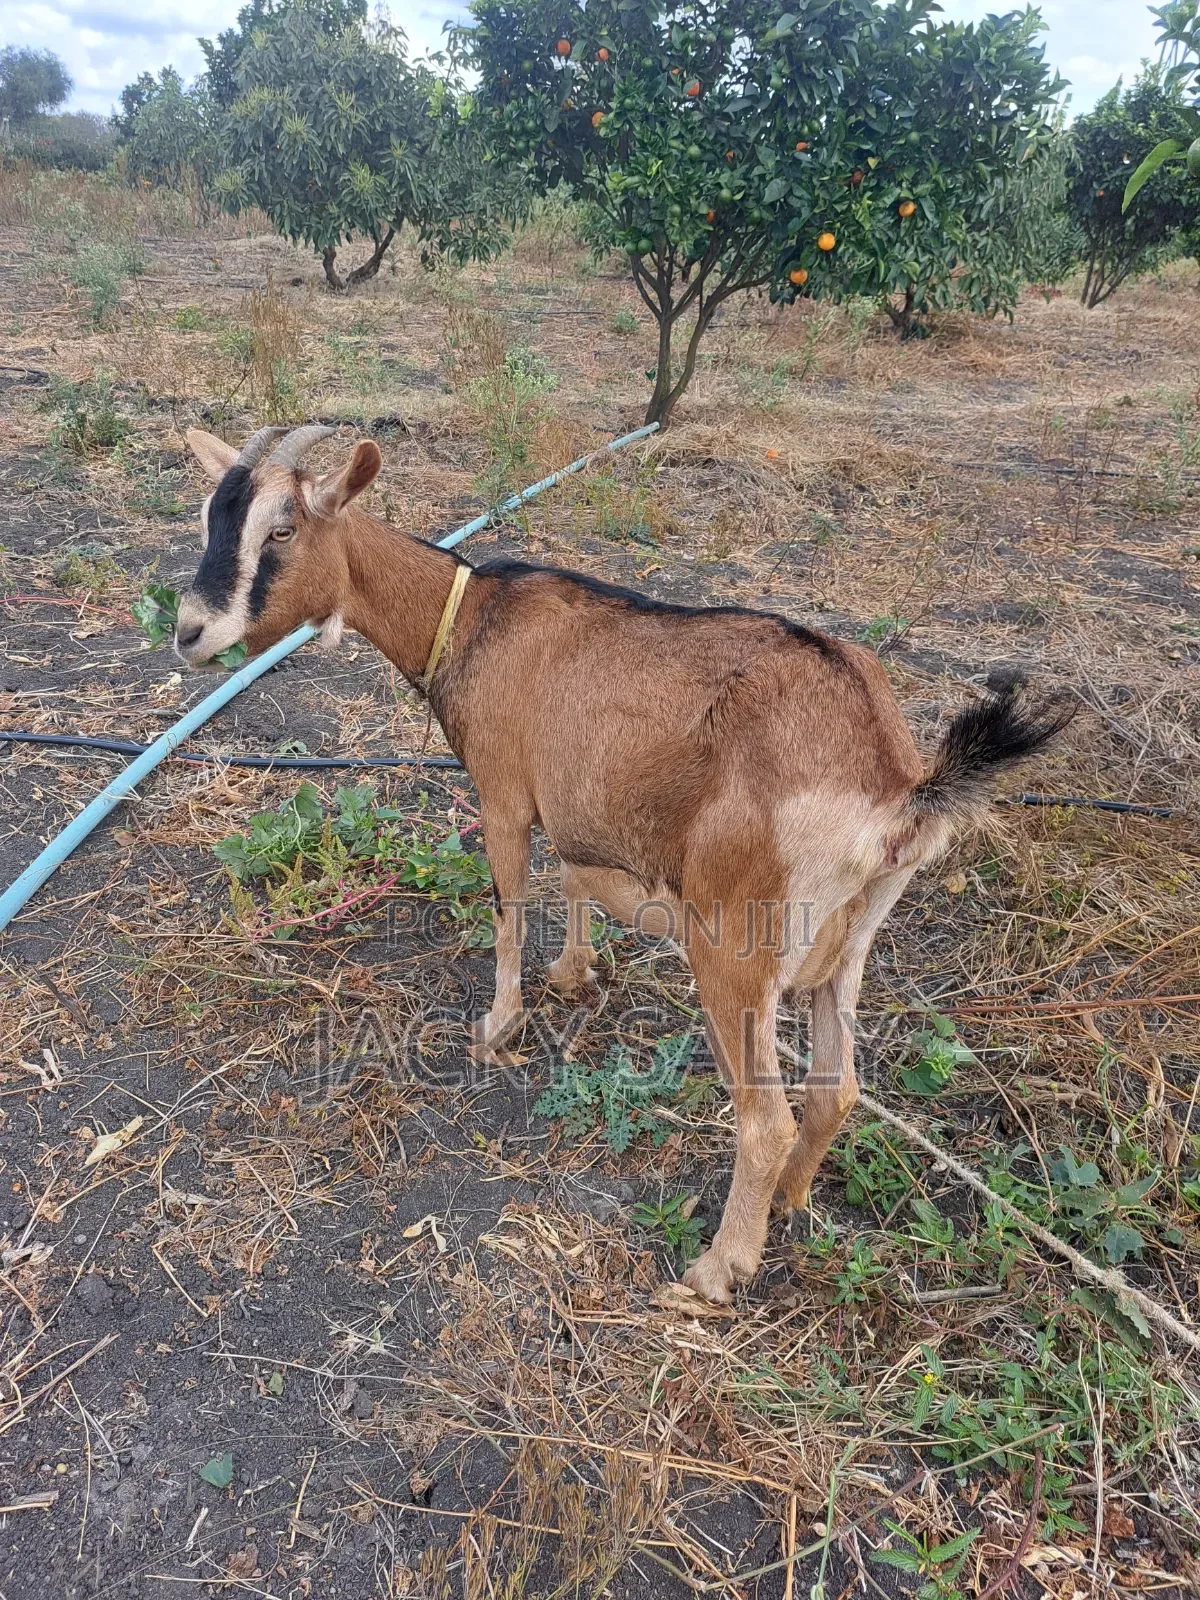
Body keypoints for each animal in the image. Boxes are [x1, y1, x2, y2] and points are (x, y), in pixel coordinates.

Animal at [177, 424, 1075, 1305]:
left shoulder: (504, 796)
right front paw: (576, 974)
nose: (189, 630)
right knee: (836, 1088)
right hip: (848, 942)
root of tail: (895, 784)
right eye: (211, 518)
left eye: (283, 530)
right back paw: (790, 1199)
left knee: (766, 1119)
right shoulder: (577, 810)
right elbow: (575, 877)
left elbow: (511, 907)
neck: (471, 618)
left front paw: (498, 1028)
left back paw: (717, 1269)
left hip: (736, 943)